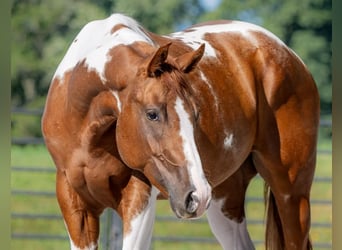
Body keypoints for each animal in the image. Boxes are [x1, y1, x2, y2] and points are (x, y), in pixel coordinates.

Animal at [41, 13, 320, 250]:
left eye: (195, 114)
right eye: (152, 114)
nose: (197, 195)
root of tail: (286, 53)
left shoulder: (138, 196)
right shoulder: (74, 202)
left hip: (291, 195)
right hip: (225, 198)